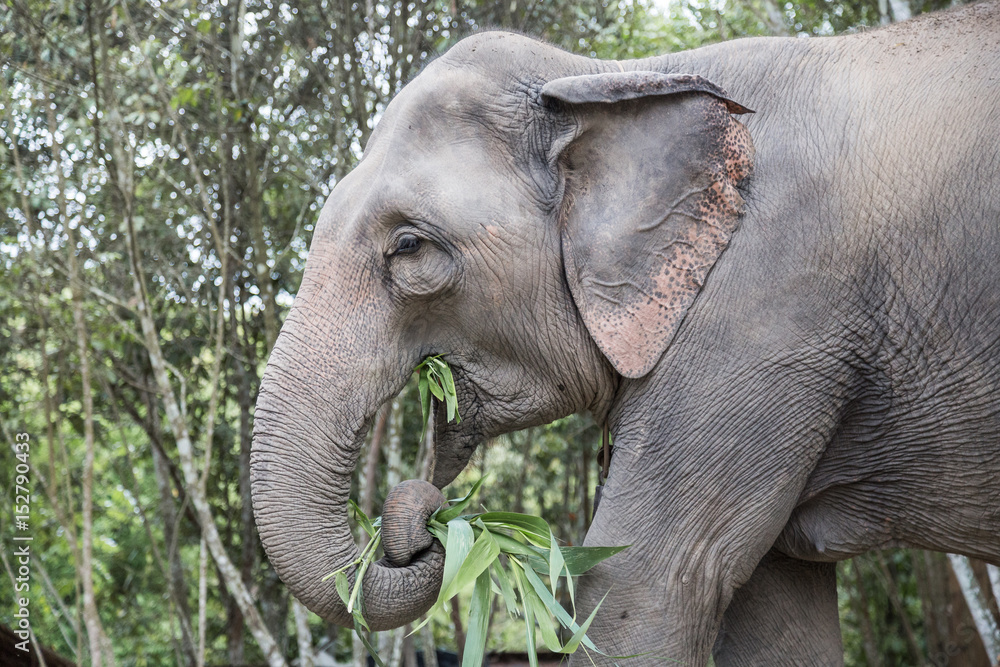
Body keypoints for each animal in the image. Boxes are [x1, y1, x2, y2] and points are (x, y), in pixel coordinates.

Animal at [250, 2, 1000, 664]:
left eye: (408, 245)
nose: (431, 523)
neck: (609, 78)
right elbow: (773, 611)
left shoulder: (769, 317)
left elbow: (646, 580)